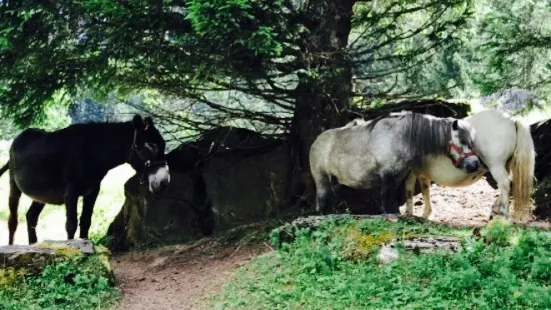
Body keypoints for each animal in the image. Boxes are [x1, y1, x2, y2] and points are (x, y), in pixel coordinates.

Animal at [0, 114, 170, 245]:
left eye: (163, 144)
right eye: (151, 145)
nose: (164, 182)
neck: (91, 151)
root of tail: (20, 137)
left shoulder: (93, 191)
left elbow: (86, 222)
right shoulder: (71, 192)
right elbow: (71, 224)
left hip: (41, 195)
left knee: (31, 217)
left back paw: (33, 245)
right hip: (14, 185)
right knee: (13, 220)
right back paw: (11, 246)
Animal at [406, 108, 536, 220]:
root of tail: (511, 119)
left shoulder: (412, 172)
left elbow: (410, 190)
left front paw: (410, 214)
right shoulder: (421, 173)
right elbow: (423, 190)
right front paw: (425, 213)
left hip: (496, 166)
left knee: (505, 185)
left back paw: (503, 215)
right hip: (505, 166)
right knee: (511, 184)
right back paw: (495, 210)